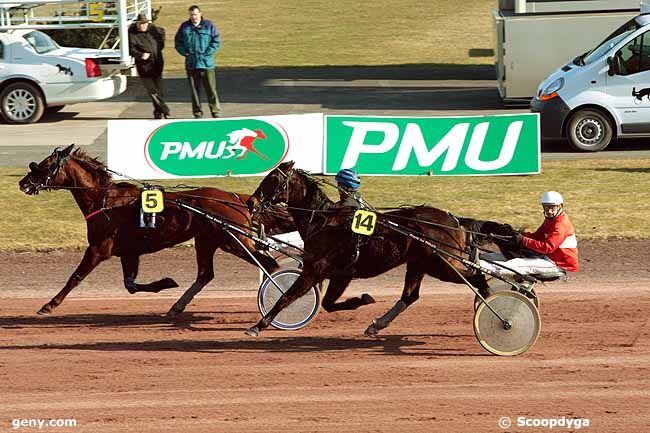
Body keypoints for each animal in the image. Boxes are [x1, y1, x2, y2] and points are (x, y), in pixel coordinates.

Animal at [17, 143, 296, 316]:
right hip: (207, 240)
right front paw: (166, 282)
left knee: (269, 265)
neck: (105, 201)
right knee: (205, 274)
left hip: (233, 240)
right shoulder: (128, 252)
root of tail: (237, 198)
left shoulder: (99, 248)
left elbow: (75, 277)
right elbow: (130, 285)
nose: (23, 182)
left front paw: (49, 305)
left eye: (45, 165)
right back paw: (177, 306)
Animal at [243, 160, 486, 336]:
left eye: (273, 179)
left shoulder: (315, 271)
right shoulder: (340, 275)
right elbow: (328, 304)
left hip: (440, 264)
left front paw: (258, 326)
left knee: (477, 277)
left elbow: (285, 297)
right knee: (410, 296)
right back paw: (377, 325)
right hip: (419, 264)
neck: (322, 221)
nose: (251, 202)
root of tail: (452, 219)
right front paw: (362, 300)